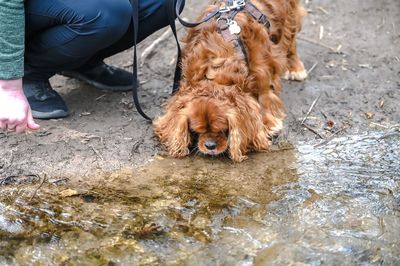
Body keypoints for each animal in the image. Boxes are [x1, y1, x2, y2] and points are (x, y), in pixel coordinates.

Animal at [153, 0, 306, 161]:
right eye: (196, 130)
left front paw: (269, 123)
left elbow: (265, 95)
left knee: (290, 40)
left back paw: (296, 67)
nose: (210, 146)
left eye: (223, 129)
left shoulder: (262, 71)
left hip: (289, 16)